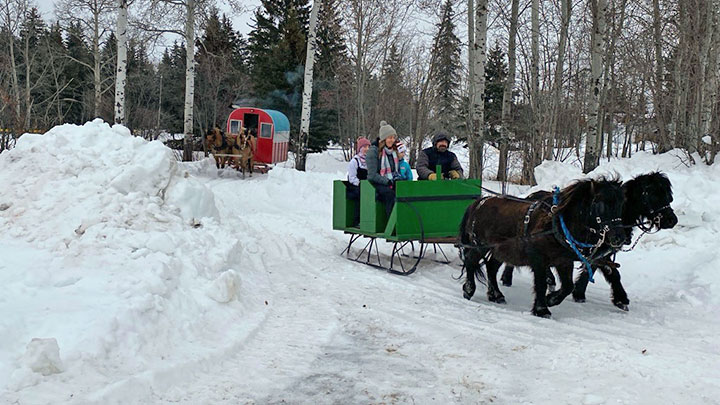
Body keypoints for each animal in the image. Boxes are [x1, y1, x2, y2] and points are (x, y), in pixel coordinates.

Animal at [458, 177, 627, 318]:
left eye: (621, 204)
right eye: (600, 203)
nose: (620, 237)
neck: (556, 225)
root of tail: (479, 202)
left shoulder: (563, 261)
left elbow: (568, 286)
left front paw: (551, 299)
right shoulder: (539, 260)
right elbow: (541, 284)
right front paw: (542, 309)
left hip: (500, 250)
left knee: (491, 267)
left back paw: (496, 295)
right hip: (480, 245)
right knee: (471, 261)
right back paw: (469, 289)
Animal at [499, 172, 677, 311]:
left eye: (668, 196)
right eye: (654, 195)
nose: (672, 220)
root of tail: (531, 196)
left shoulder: (599, 252)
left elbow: (601, 270)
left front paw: (581, 292)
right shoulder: (596, 251)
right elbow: (611, 273)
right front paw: (619, 298)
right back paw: (510, 279)